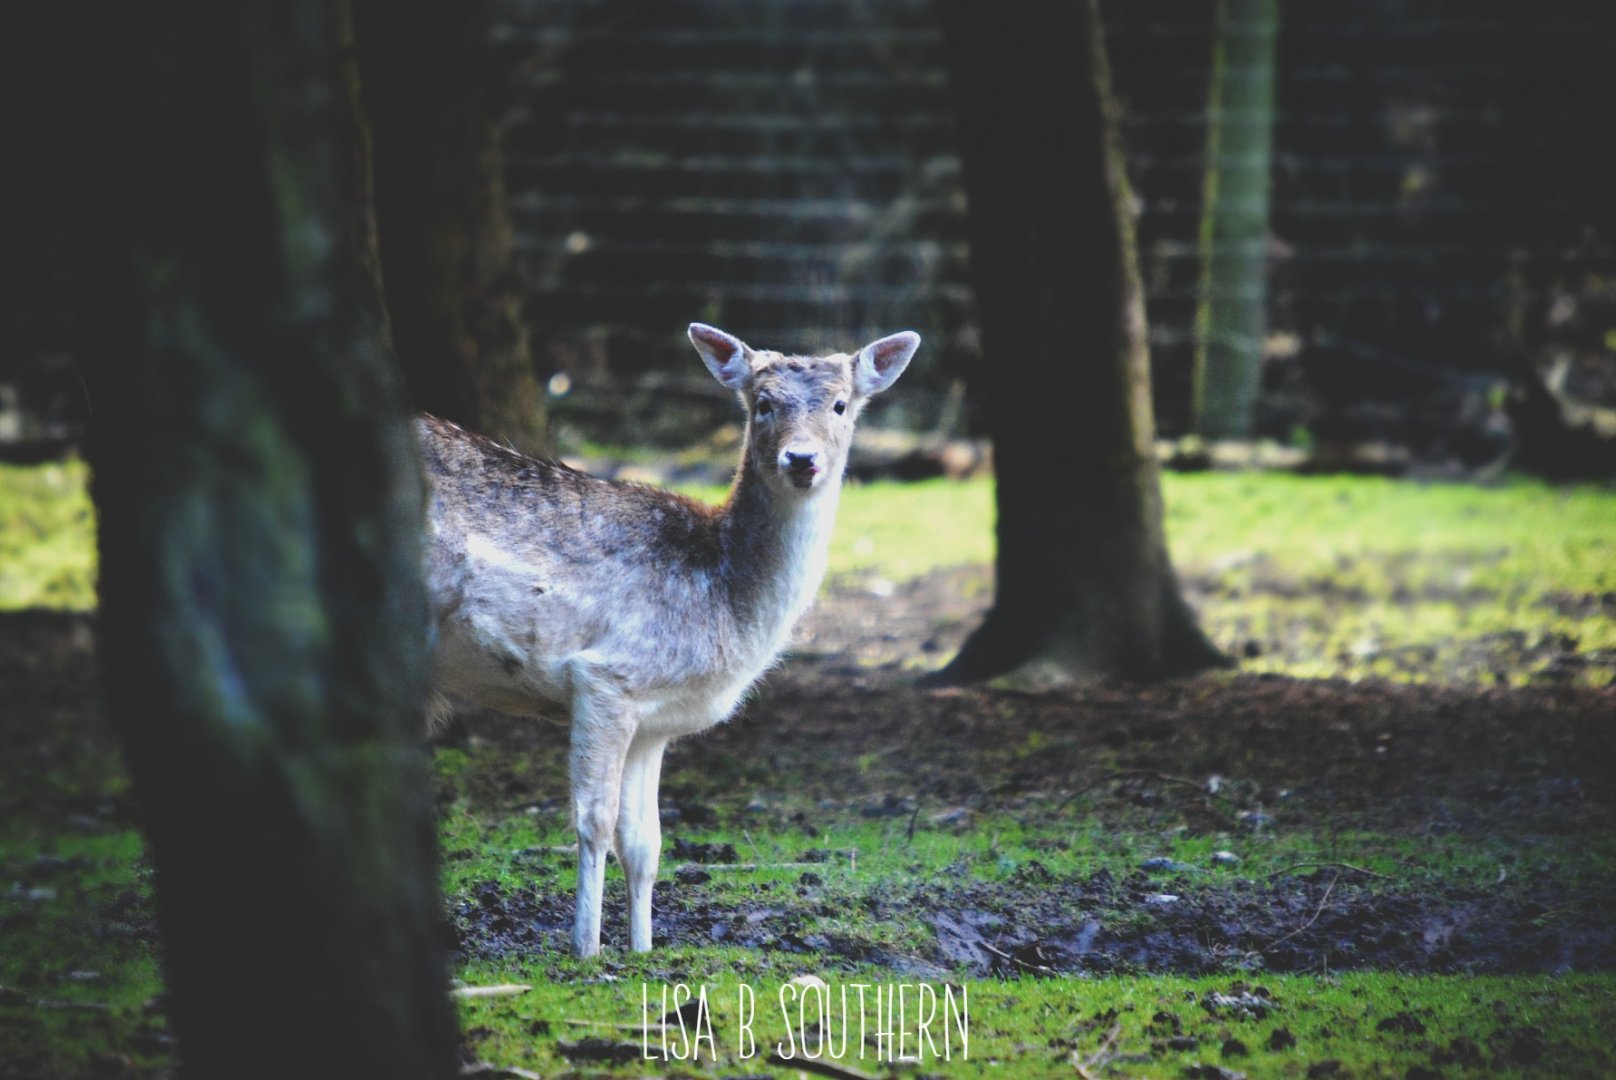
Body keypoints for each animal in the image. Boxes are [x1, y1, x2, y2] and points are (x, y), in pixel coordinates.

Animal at [419, 323, 919, 957]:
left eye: (840, 404)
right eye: (763, 404)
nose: (802, 459)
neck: (724, 605)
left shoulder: (654, 724)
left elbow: (645, 842)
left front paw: (642, 950)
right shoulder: (607, 677)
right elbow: (594, 820)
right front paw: (585, 950)